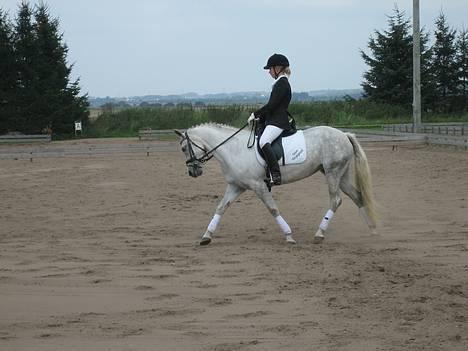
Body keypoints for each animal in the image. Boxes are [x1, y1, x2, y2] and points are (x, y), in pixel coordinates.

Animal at [176, 124, 376, 245]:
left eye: (184, 148)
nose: (193, 172)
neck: (233, 149)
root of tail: (344, 134)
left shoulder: (259, 186)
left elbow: (272, 209)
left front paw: (289, 235)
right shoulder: (236, 186)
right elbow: (221, 208)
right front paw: (206, 236)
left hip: (333, 172)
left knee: (336, 200)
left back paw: (319, 234)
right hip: (341, 175)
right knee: (358, 196)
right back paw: (372, 229)